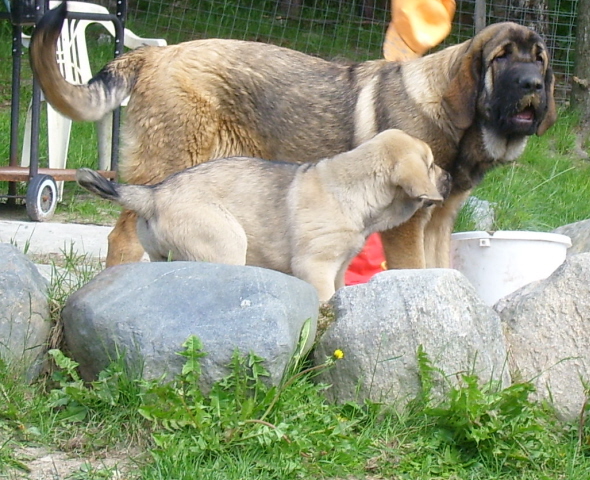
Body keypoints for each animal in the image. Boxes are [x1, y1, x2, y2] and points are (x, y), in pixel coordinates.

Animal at [30, 1, 556, 268]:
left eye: (539, 60)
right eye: (502, 58)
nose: (533, 86)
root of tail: (153, 54)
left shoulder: (440, 221)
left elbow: (441, 274)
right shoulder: (408, 227)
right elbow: (416, 273)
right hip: (169, 166)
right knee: (122, 239)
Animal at [76, 127, 450, 300]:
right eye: (432, 165)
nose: (448, 178)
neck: (356, 190)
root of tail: (153, 194)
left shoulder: (340, 267)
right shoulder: (315, 266)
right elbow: (325, 298)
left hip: (160, 256)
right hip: (225, 244)